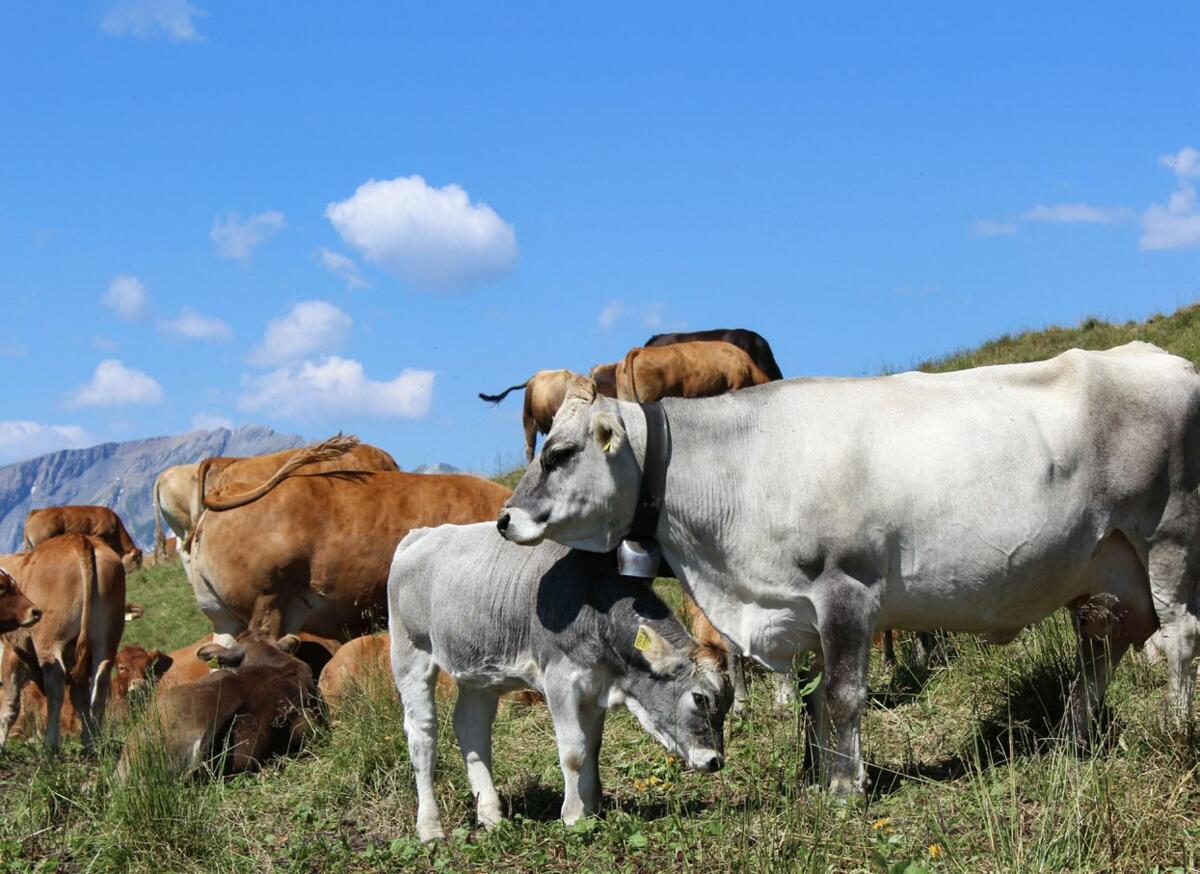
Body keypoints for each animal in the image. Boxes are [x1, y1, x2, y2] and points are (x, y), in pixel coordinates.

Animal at [0, 534, 125, 750]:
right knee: (99, 684)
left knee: (55, 685)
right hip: (106, 639)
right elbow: (80, 698)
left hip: (49, 640)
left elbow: (9, 705)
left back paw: (51, 744)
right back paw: (92, 742)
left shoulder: (12, 653)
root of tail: (79, 539)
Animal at [387, 522, 732, 841]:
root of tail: (423, 533)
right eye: (700, 698)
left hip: (479, 672)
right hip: (410, 653)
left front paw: (592, 809)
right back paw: (430, 828)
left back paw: (491, 816)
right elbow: (574, 751)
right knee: (422, 737)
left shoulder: (594, 689)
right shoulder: (560, 679)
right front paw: (573, 816)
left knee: (472, 728)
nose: (716, 761)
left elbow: (592, 746)